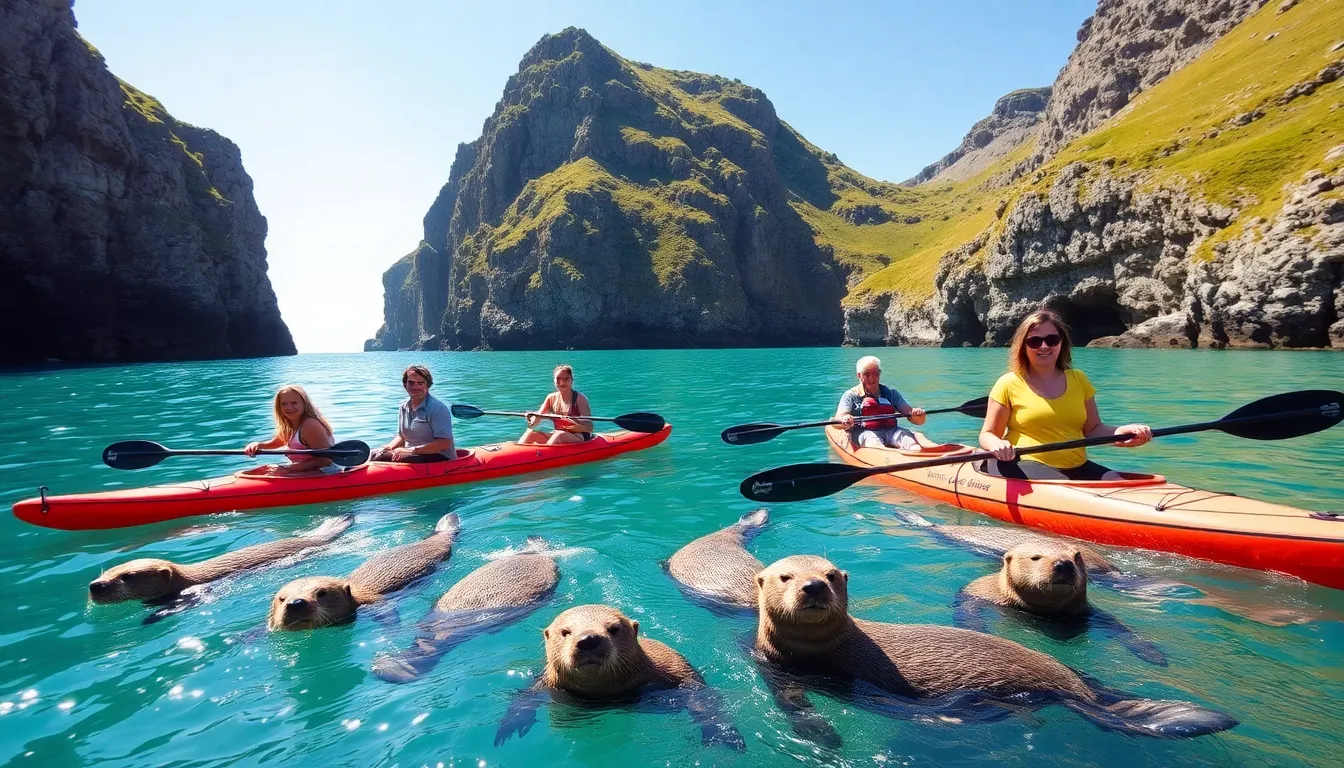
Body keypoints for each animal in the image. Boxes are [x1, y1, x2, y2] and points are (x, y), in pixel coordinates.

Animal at [494, 604, 745, 752]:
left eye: (613, 628)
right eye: (565, 632)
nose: (589, 639)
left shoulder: (676, 674)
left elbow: (702, 697)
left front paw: (723, 734)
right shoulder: (545, 684)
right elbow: (524, 698)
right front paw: (510, 727)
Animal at [957, 543, 1167, 666]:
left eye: (1076, 557)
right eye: (1036, 557)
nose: (1064, 563)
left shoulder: (1090, 613)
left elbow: (1121, 627)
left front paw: (1154, 656)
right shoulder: (981, 593)